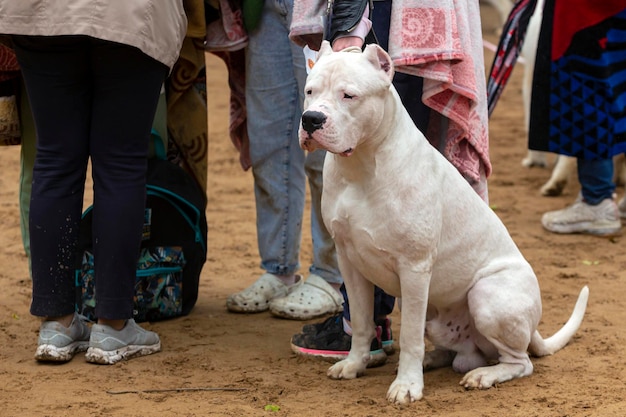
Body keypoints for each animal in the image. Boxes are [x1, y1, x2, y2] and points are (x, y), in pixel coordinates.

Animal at [300, 41, 588, 404]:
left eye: (349, 95)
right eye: (310, 91)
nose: (311, 119)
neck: (363, 166)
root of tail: (533, 329)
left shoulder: (414, 268)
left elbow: (409, 337)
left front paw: (407, 385)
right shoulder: (350, 261)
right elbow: (363, 322)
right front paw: (354, 365)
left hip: (487, 295)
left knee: (520, 362)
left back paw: (484, 375)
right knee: (462, 353)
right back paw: (438, 359)